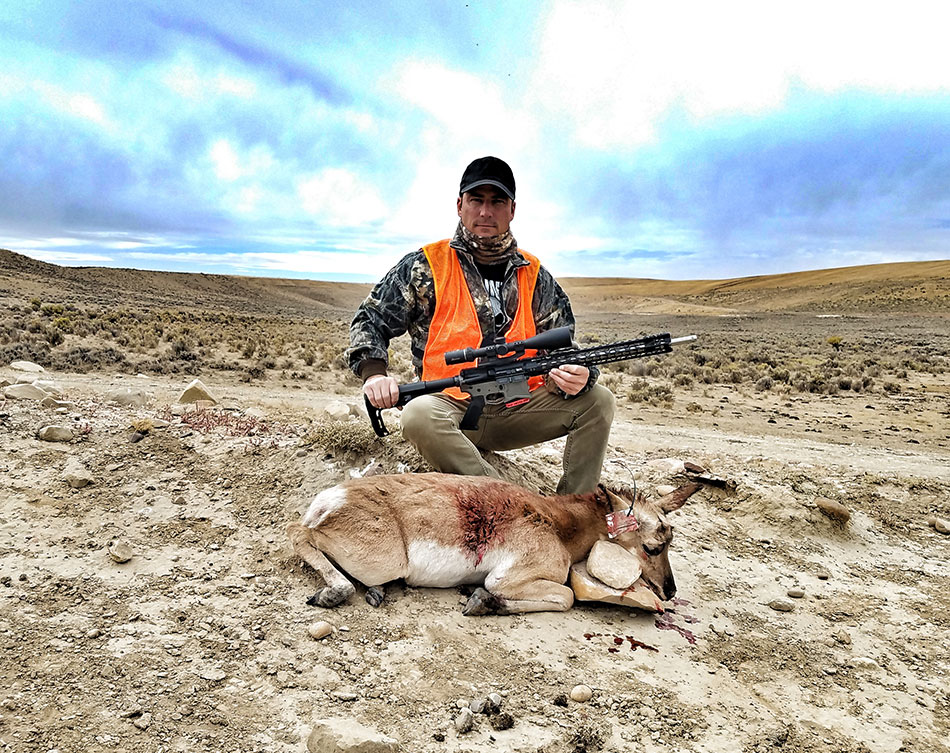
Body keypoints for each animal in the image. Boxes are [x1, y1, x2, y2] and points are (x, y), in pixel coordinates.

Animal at [287, 473, 699, 615]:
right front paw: (485, 602)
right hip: (382, 558)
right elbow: (566, 597)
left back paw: (374, 592)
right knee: (298, 533)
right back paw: (334, 592)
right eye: (652, 546)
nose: (670, 590)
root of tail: (332, 499)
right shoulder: (507, 577)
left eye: (671, 541)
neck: (558, 522)